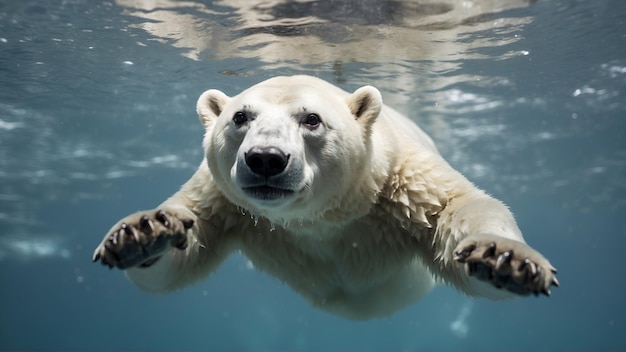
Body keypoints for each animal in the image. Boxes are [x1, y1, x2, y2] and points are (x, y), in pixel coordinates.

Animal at [91, 75, 556, 320]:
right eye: (240, 116)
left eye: (312, 119)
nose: (265, 159)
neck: (320, 218)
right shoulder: (227, 202)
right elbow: (189, 236)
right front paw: (143, 233)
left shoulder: (400, 184)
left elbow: (457, 209)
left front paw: (504, 259)